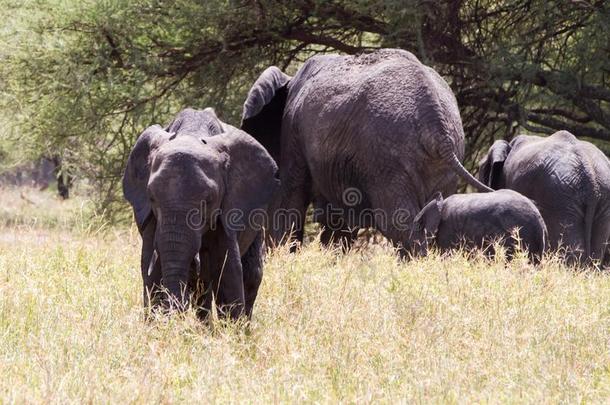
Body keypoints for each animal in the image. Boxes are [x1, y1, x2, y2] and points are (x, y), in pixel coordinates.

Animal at [122, 107, 280, 318]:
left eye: (209, 200)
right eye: (152, 197)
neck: (192, 133)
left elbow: (228, 270)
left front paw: (232, 327)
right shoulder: (150, 217)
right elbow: (150, 272)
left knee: (251, 274)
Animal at [239, 49, 490, 254]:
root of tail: (436, 124)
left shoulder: (292, 133)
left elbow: (288, 202)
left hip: (385, 158)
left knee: (398, 223)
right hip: (443, 159)